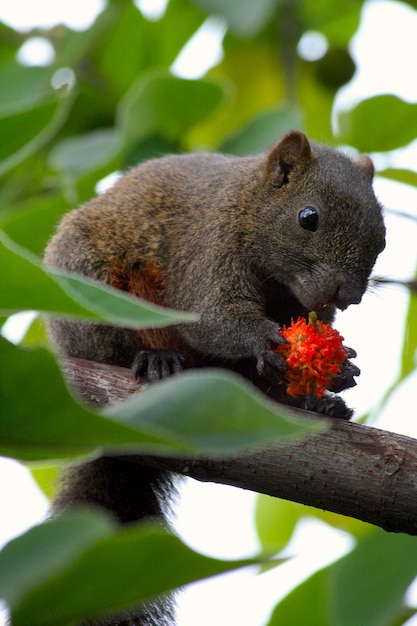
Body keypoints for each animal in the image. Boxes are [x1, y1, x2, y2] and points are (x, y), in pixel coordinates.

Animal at [44, 129, 386, 620]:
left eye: (382, 237)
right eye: (309, 218)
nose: (348, 295)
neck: (247, 205)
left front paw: (338, 372)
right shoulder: (208, 248)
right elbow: (212, 316)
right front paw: (268, 341)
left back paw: (319, 405)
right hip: (89, 285)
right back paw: (155, 361)